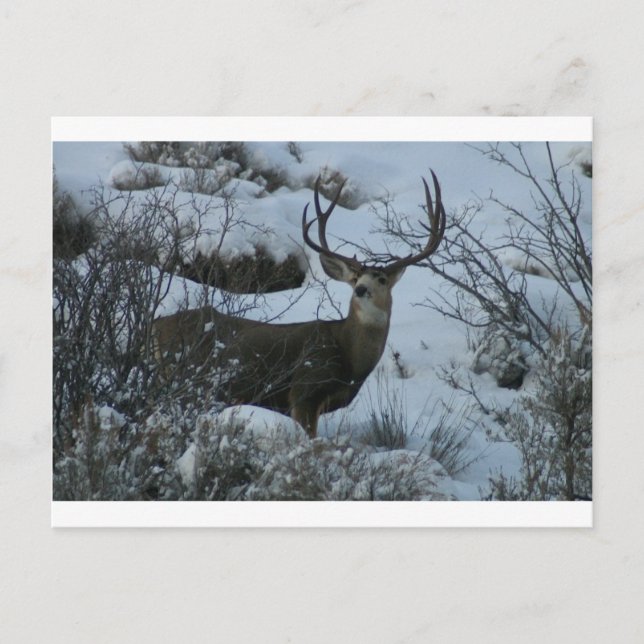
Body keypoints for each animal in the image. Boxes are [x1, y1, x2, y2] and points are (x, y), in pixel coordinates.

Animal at [151, 171, 446, 437]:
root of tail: (155, 326)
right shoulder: (305, 390)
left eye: (382, 279)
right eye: (354, 278)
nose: (361, 289)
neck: (349, 357)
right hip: (184, 376)